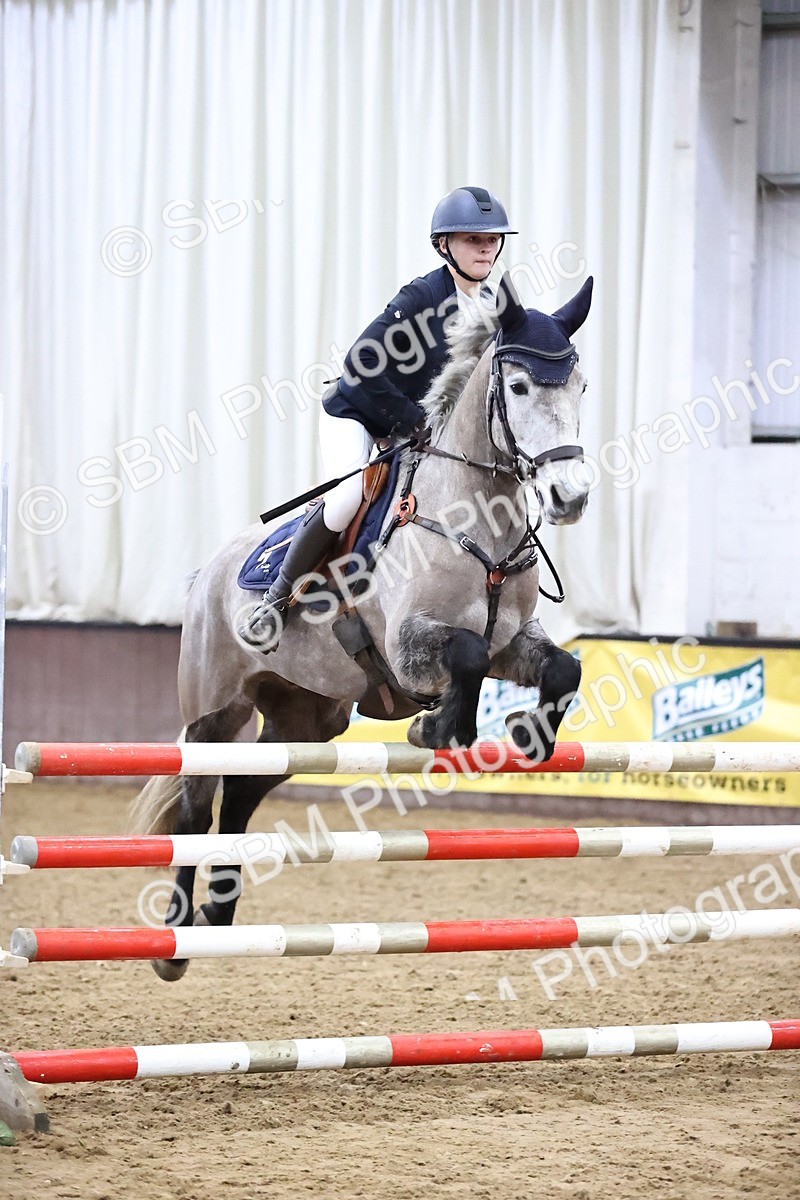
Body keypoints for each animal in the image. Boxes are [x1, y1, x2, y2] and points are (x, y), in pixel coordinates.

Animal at [132, 272, 593, 980]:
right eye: (518, 388)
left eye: (581, 387)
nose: (571, 497)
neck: (474, 519)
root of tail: (206, 572)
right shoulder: (407, 645)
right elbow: (462, 654)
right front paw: (440, 728)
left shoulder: (511, 643)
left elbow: (562, 667)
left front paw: (527, 733)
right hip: (214, 708)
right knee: (194, 806)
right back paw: (177, 942)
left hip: (308, 720)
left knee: (240, 794)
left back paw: (218, 912)